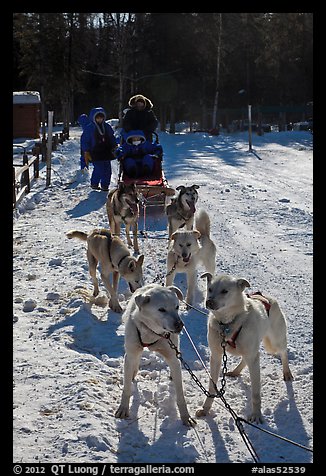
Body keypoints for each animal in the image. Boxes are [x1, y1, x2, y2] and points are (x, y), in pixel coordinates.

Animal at [114, 282, 195, 428]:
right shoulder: (131, 353)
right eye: (161, 309)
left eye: (177, 307)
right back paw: (133, 372)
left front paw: (186, 416)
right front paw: (123, 408)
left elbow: (180, 395)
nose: (180, 325)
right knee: (135, 360)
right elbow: (126, 388)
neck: (153, 333)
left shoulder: (172, 356)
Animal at [197, 274, 294, 422]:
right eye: (210, 289)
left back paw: (287, 372)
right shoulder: (216, 356)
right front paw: (205, 409)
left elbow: (255, 394)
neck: (227, 325)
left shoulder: (253, 359)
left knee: (283, 353)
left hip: (275, 341)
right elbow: (212, 387)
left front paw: (256, 415)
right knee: (244, 359)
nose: (209, 302)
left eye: (224, 291)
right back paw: (235, 371)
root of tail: (267, 297)